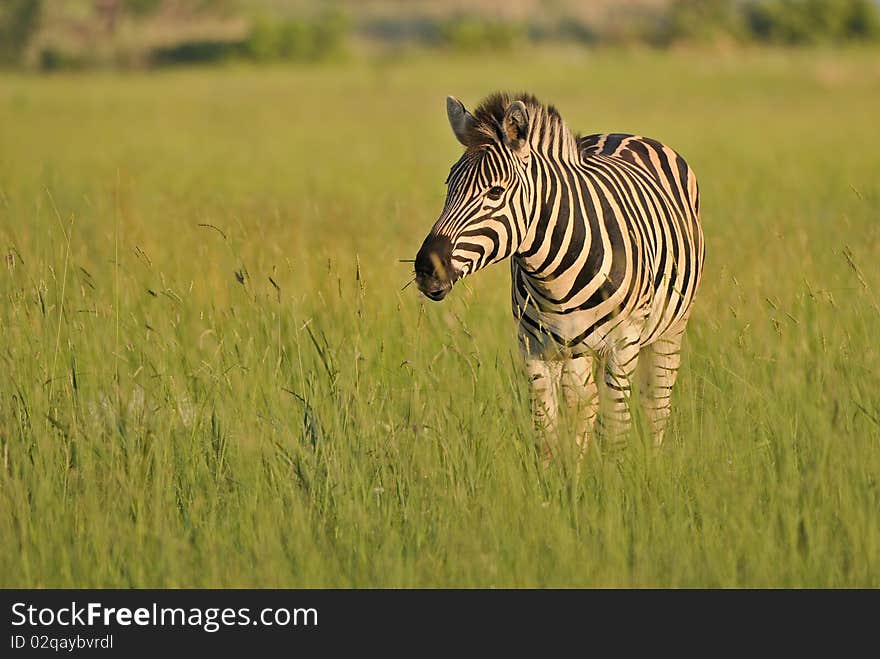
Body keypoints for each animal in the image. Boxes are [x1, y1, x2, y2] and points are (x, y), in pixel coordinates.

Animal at [414, 93, 708, 456]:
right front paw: (560, 472)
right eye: (449, 185)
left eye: (495, 192)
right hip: (574, 349)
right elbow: (547, 432)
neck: (554, 277)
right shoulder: (533, 347)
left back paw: (653, 457)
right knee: (584, 403)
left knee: (656, 403)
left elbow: (616, 430)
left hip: (671, 329)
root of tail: (627, 134)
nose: (426, 268)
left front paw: (616, 472)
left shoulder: (623, 344)